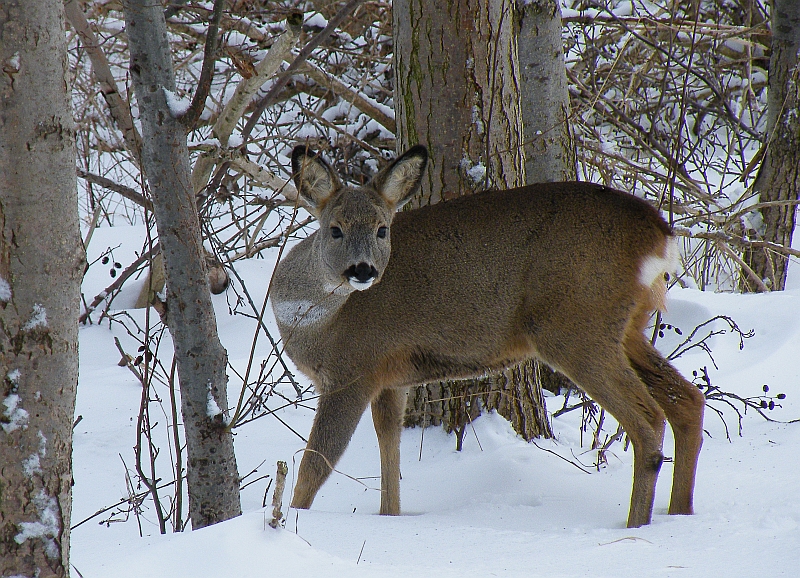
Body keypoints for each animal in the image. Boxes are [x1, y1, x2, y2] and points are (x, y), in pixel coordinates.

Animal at [272, 144, 704, 528]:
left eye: (382, 230)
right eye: (335, 230)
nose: (363, 270)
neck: (313, 320)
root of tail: (661, 236)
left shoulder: (352, 371)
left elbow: (315, 464)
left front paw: (291, 519)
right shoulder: (389, 377)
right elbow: (389, 455)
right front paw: (389, 519)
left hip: (575, 326)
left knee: (648, 419)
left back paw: (636, 526)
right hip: (627, 327)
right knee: (687, 400)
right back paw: (680, 514)